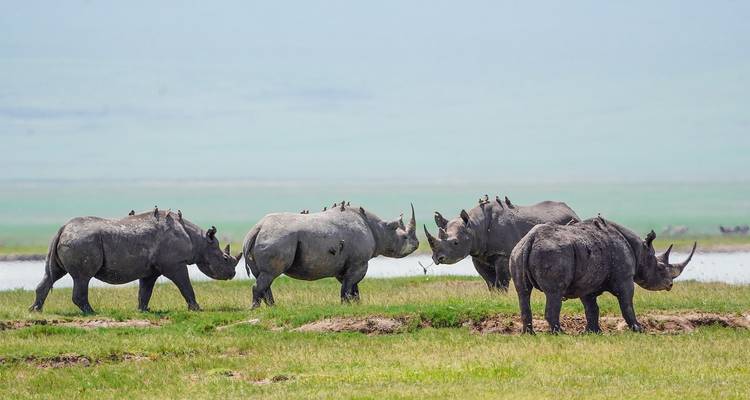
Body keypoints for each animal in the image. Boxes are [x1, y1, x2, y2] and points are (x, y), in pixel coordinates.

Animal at [29, 208, 240, 314]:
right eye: (224, 258)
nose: (232, 274)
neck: (199, 241)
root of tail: (63, 228)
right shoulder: (174, 264)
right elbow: (185, 286)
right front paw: (197, 309)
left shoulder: (151, 269)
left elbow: (145, 290)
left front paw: (143, 310)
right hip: (82, 241)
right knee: (82, 278)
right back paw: (92, 313)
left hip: (70, 240)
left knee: (53, 274)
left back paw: (35, 310)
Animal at [242, 203, 419, 307]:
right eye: (404, 238)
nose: (417, 244)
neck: (380, 229)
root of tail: (257, 228)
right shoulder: (359, 263)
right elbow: (348, 285)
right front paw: (346, 305)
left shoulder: (346, 265)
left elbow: (352, 286)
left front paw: (356, 304)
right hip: (277, 239)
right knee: (269, 275)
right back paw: (256, 309)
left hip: (262, 238)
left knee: (265, 277)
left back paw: (273, 308)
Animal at [424, 196, 579, 290]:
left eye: (456, 243)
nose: (437, 258)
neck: (474, 226)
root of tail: (572, 211)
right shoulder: (479, 255)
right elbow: (490, 282)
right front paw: (494, 298)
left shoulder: (503, 254)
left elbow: (501, 282)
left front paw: (501, 297)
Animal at [509, 217, 697, 334]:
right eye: (660, 268)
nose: (670, 285)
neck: (642, 252)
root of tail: (531, 239)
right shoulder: (624, 278)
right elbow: (626, 304)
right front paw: (639, 329)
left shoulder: (587, 279)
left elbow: (592, 307)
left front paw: (593, 332)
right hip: (553, 253)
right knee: (554, 293)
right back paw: (560, 333)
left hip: (518, 251)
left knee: (523, 292)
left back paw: (529, 334)